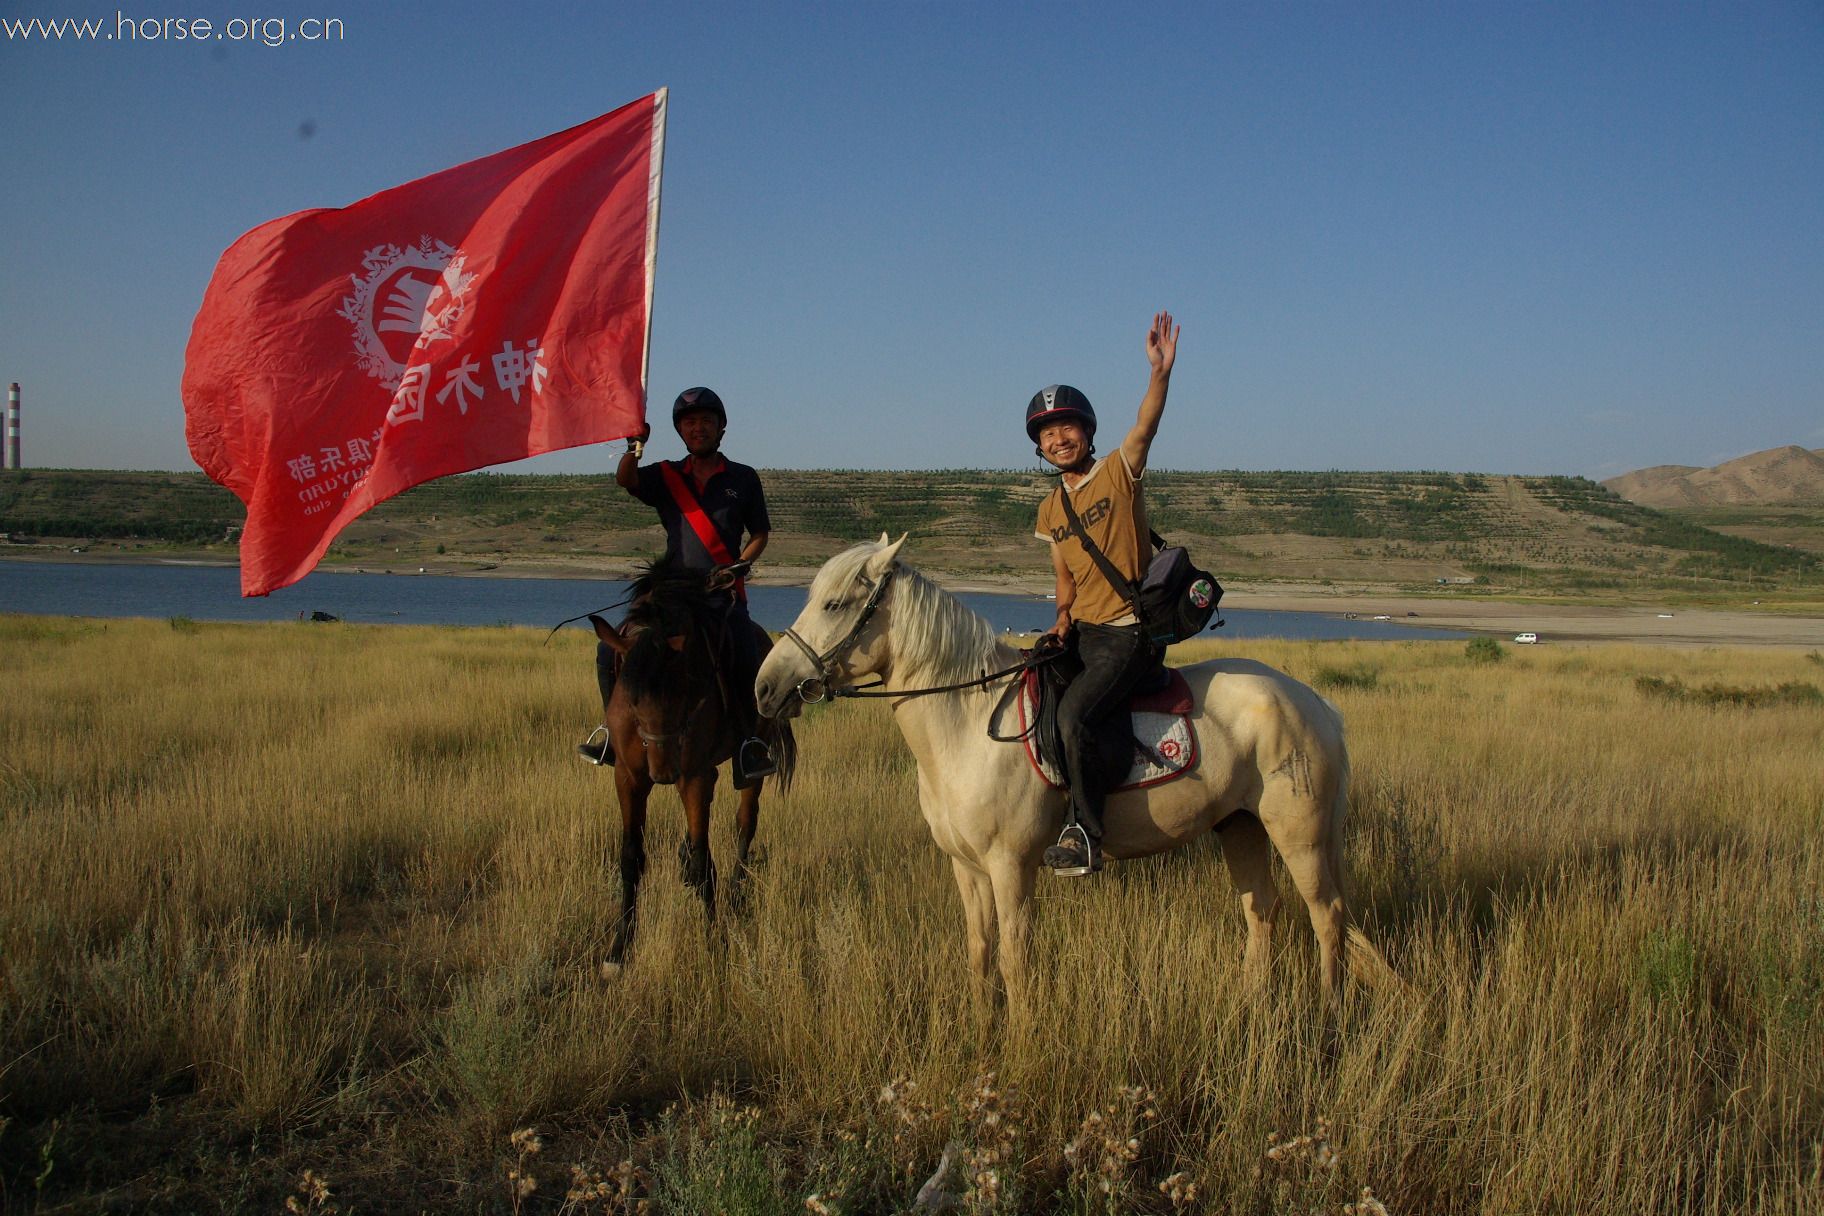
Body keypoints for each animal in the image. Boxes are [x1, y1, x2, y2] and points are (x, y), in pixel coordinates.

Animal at [590, 557, 791, 969]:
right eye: (631, 697)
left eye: (684, 688)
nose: (663, 772)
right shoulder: (629, 778)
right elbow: (630, 855)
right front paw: (619, 948)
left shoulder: (694, 776)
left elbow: (702, 858)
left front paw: (714, 939)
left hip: (748, 767)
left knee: (745, 823)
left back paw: (735, 891)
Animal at [755, 535, 1393, 1013]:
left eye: (835, 604)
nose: (766, 688)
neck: (966, 724)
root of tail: (1313, 703)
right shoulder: (967, 867)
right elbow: (979, 953)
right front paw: (985, 1036)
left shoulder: (1011, 866)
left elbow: (1014, 959)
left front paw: (1019, 1044)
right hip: (1241, 827)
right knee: (1262, 910)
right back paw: (1249, 1008)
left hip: (1299, 835)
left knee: (1327, 917)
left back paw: (1330, 1015)